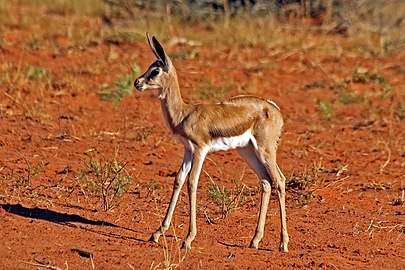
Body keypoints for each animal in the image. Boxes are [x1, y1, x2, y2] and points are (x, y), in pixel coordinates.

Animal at [133, 34, 288, 253]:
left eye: (155, 70)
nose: (137, 82)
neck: (184, 114)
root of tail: (273, 108)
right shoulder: (187, 150)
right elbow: (179, 180)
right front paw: (157, 233)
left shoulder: (200, 149)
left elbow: (192, 182)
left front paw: (188, 239)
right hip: (247, 151)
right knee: (266, 181)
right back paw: (255, 240)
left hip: (265, 150)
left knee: (280, 180)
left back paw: (283, 244)